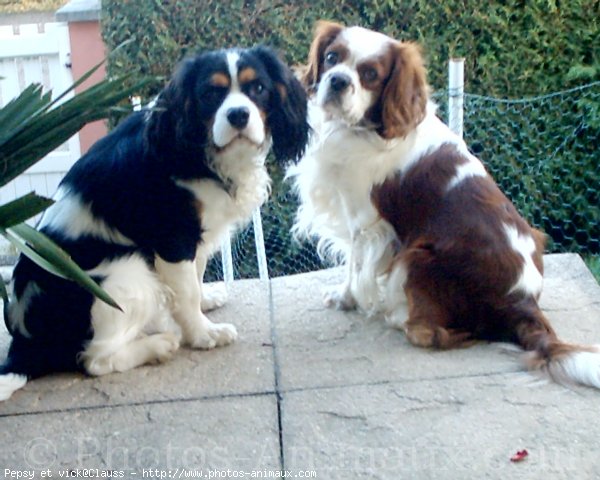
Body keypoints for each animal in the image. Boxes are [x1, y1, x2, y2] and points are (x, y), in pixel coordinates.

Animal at [0, 46, 308, 402]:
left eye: (257, 88)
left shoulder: (194, 237)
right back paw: (159, 345)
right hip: (127, 272)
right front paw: (204, 334)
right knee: (95, 360)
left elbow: (195, 275)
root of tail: (24, 344)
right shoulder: (173, 237)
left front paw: (206, 301)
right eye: (210, 94)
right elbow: (186, 292)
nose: (238, 115)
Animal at [288, 22, 600, 388]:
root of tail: (523, 301)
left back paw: (399, 314)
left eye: (370, 75)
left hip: (417, 256)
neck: (364, 127)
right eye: (331, 58)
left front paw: (345, 298)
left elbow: (355, 265)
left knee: (430, 333)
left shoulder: (365, 223)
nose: (338, 80)